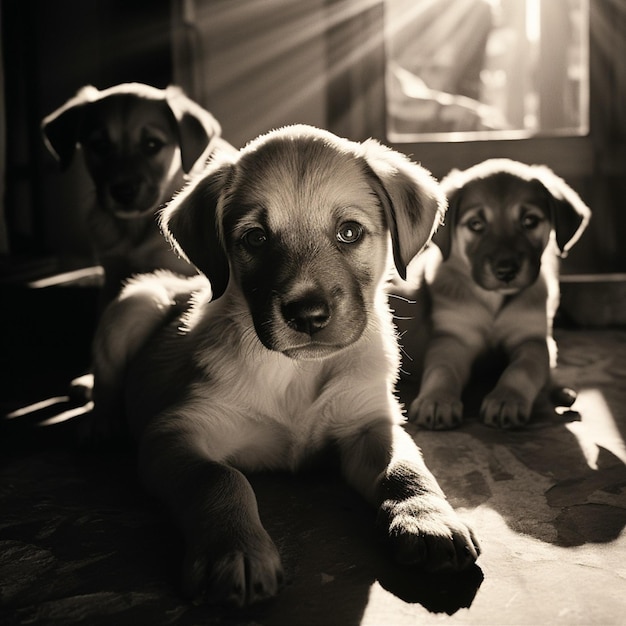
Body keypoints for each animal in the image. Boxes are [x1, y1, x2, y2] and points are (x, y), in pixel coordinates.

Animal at [88, 124, 478, 608]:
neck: (298, 374)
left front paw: (429, 519)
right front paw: (235, 551)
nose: (308, 315)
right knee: (105, 384)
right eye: (255, 238)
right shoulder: (177, 431)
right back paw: (104, 425)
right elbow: (220, 478)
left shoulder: (368, 423)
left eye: (349, 232)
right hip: (134, 305)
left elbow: (407, 470)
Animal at [392, 156, 588, 428]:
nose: (506, 270)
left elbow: (521, 370)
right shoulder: (454, 338)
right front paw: (437, 400)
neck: (493, 302)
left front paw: (507, 399)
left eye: (530, 221)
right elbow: (442, 370)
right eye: (476, 224)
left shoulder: (533, 339)